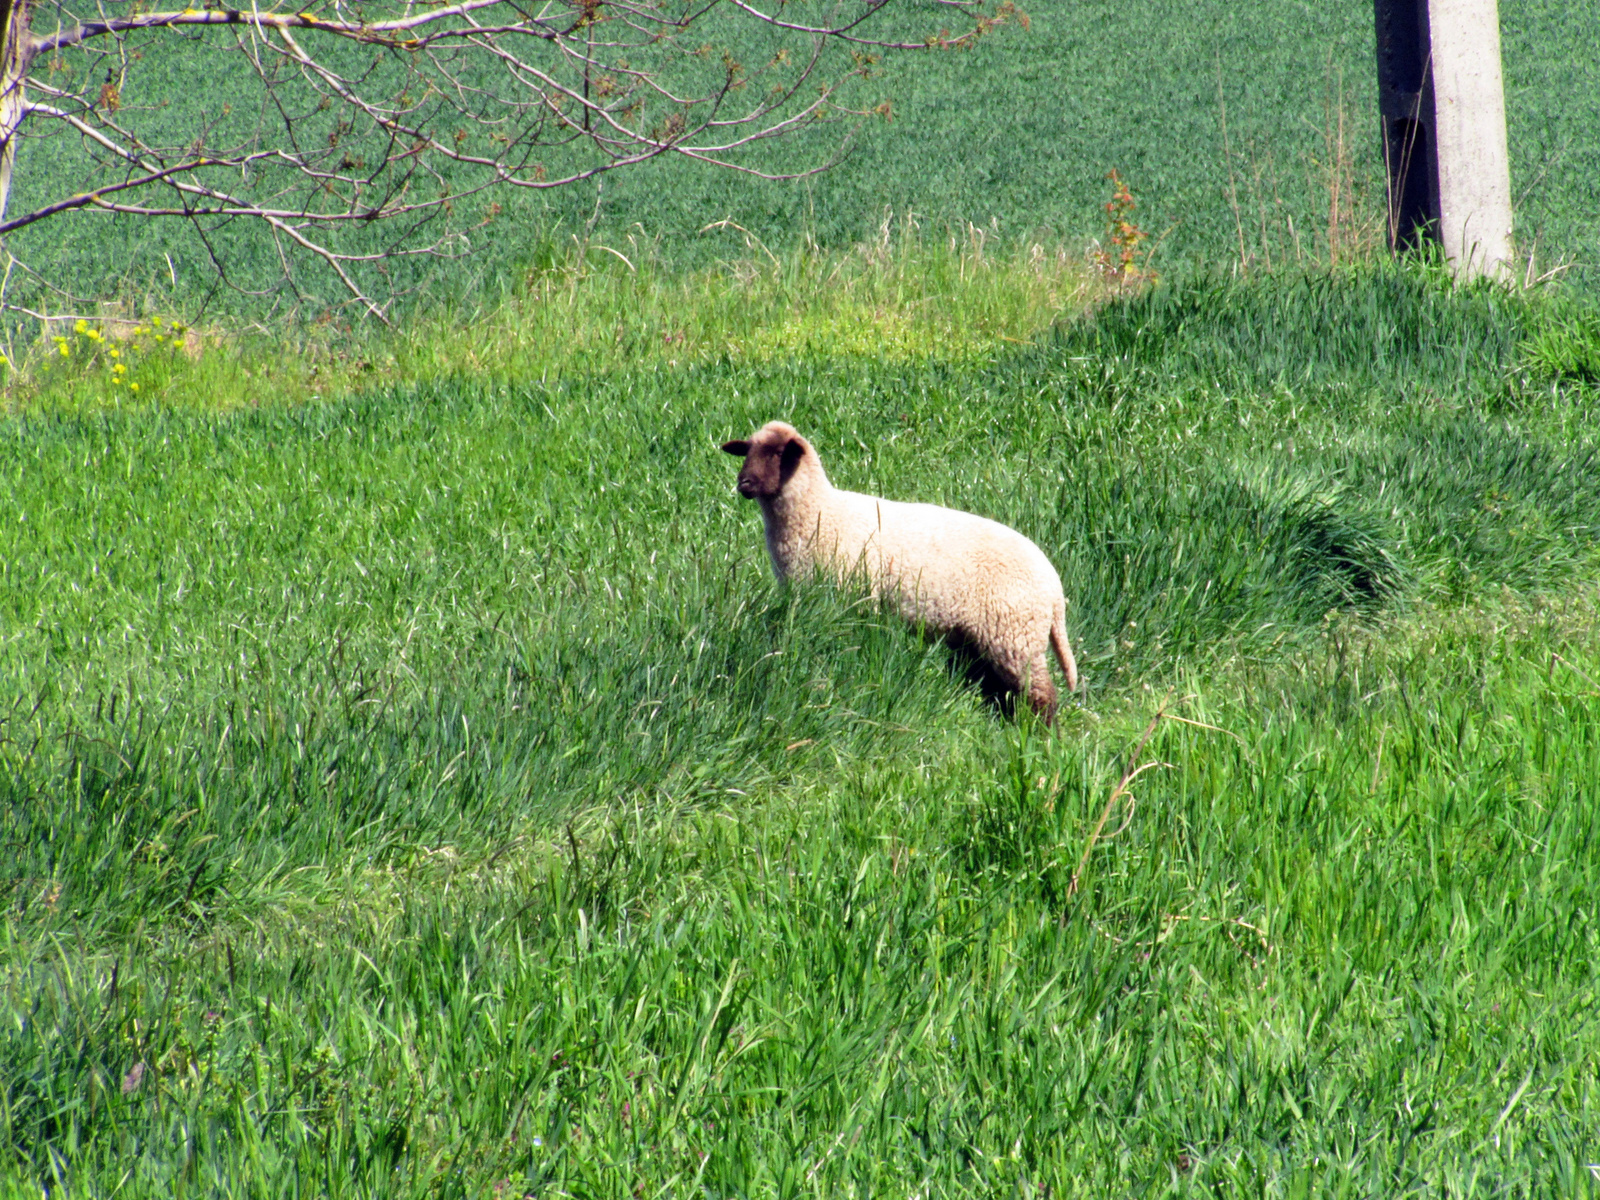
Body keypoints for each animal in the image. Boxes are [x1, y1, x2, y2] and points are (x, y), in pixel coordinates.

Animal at [720, 422, 1081, 723]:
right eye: (747, 451)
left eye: (778, 453)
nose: (744, 483)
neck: (819, 511)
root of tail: (1054, 589)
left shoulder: (847, 599)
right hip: (985, 637)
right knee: (996, 687)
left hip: (1014, 633)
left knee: (1041, 695)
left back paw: (1040, 738)